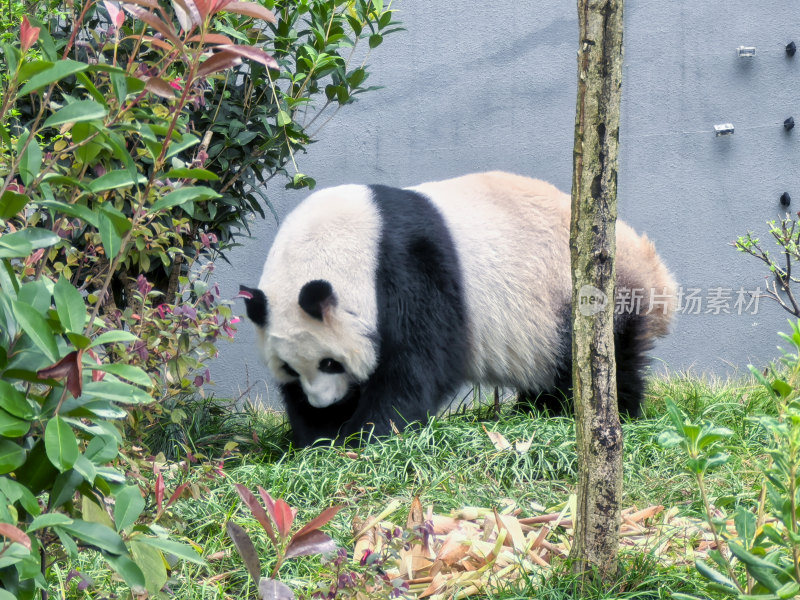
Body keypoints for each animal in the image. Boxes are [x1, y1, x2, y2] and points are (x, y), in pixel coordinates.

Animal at [242, 172, 676, 446]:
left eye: (331, 363)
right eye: (289, 368)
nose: (324, 403)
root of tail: (654, 269)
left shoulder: (410, 267)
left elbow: (415, 364)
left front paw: (368, 433)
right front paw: (319, 436)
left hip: (591, 297)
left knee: (602, 363)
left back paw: (610, 413)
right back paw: (540, 410)